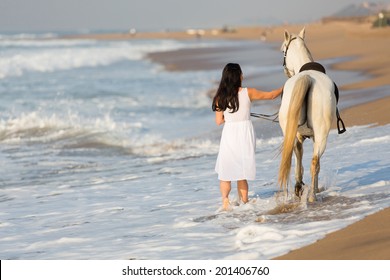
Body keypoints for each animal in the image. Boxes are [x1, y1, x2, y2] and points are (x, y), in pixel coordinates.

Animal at [278, 27, 336, 201]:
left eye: (282, 50)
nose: (285, 71)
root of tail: (307, 78)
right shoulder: (315, 136)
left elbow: (298, 154)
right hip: (322, 135)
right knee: (314, 162)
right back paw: (312, 196)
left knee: (297, 154)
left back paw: (301, 189)